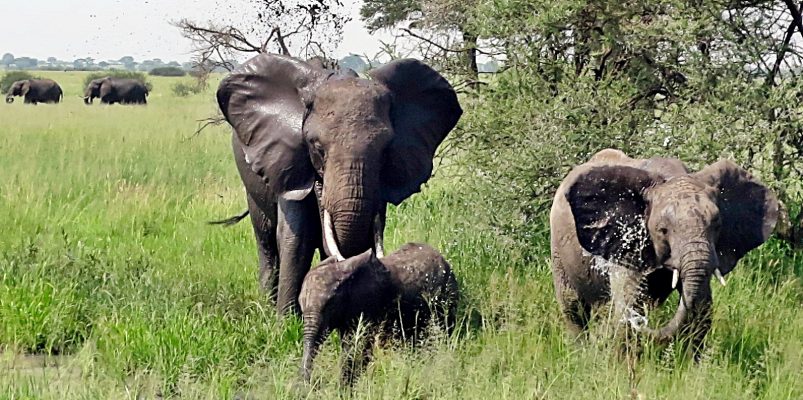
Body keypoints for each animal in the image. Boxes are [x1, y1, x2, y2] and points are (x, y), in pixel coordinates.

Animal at [215, 53, 462, 314]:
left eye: (386, 150)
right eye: (317, 147)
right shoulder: (289, 162)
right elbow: (296, 238)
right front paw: (285, 321)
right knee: (266, 241)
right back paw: (266, 303)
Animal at [298, 243, 459, 385]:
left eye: (330, 305)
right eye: (301, 303)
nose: (311, 384)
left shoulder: (369, 305)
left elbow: (357, 346)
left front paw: (345, 388)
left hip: (446, 299)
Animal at [550, 149, 778, 352]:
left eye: (717, 225)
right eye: (662, 230)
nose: (641, 322)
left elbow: (702, 309)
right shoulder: (627, 244)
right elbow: (629, 306)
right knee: (573, 309)